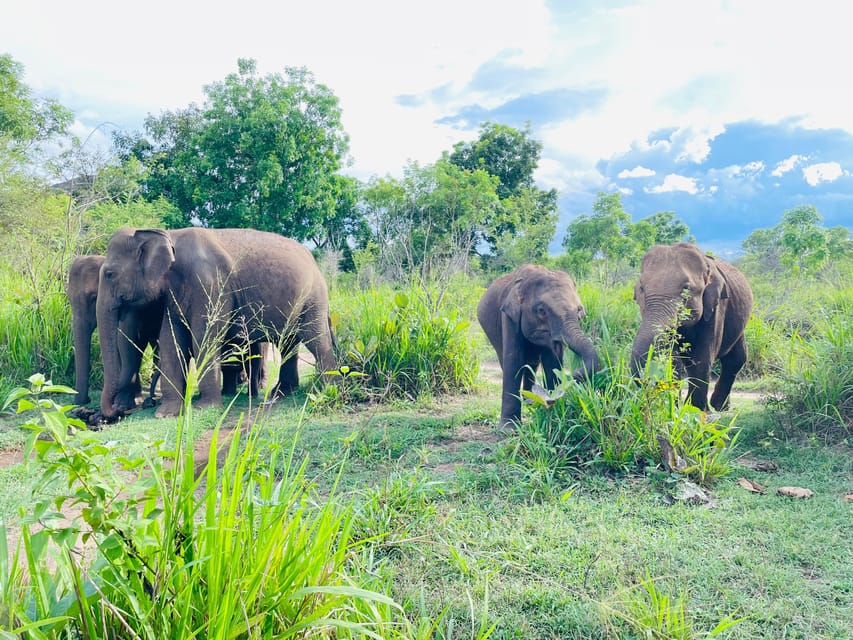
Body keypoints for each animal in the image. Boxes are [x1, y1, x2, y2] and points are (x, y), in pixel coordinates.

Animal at [93, 226, 332, 420]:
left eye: (110, 274)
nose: (116, 412)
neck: (169, 235)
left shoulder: (209, 285)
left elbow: (204, 336)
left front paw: (203, 409)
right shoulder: (173, 296)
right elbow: (171, 339)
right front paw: (166, 414)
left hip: (314, 298)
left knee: (316, 340)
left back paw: (326, 389)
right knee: (289, 344)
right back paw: (282, 394)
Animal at [476, 262, 604, 428]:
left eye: (579, 310)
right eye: (541, 311)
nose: (570, 378)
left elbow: (552, 362)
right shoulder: (508, 317)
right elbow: (514, 360)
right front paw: (509, 429)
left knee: (532, 363)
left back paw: (529, 401)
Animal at [624, 242, 752, 412]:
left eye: (686, 288)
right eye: (642, 288)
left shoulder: (717, 307)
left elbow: (701, 358)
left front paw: (696, 410)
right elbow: (672, 358)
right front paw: (674, 407)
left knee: (735, 359)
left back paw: (719, 407)